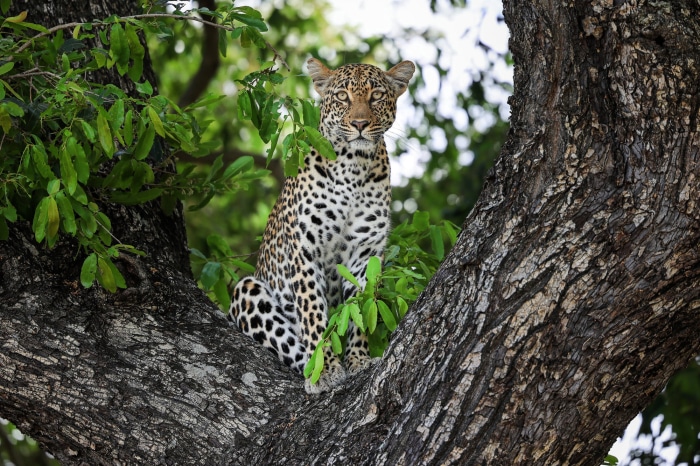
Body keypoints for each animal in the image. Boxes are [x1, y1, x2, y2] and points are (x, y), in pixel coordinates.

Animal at [229, 57, 415, 394]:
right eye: (342, 96)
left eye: (376, 96)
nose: (359, 124)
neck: (353, 165)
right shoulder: (305, 250)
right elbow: (313, 312)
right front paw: (325, 370)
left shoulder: (364, 254)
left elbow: (358, 310)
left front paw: (358, 361)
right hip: (246, 290)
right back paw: (311, 368)